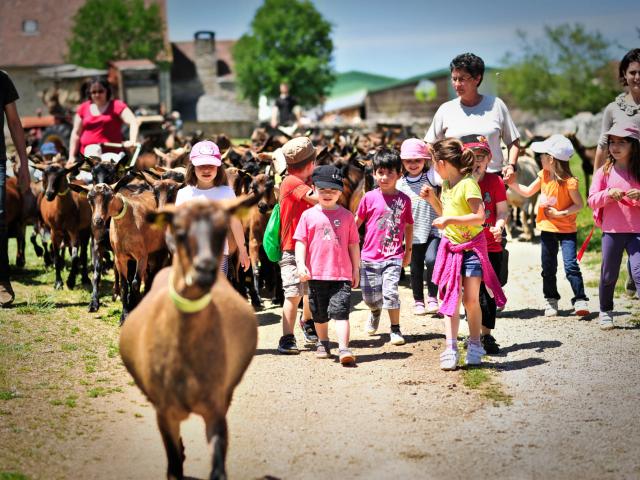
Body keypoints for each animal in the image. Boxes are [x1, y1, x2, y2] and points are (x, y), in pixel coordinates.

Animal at [119, 195, 262, 480]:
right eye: (179, 231)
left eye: (222, 230)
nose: (204, 270)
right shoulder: (165, 412)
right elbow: (174, 466)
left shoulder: (216, 406)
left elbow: (218, 468)